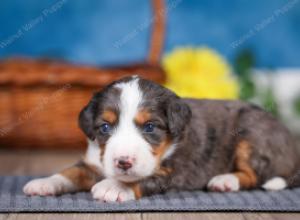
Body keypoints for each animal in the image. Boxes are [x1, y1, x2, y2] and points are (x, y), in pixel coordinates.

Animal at [23, 76, 300, 202]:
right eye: (105, 127)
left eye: (150, 127)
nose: (123, 162)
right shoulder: (94, 161)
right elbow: (69, 172)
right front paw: (44, 183)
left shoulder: (176, 172)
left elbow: (144, 177)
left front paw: (114, 186)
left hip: (251, 132)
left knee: (255, 175)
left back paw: (225, 180)